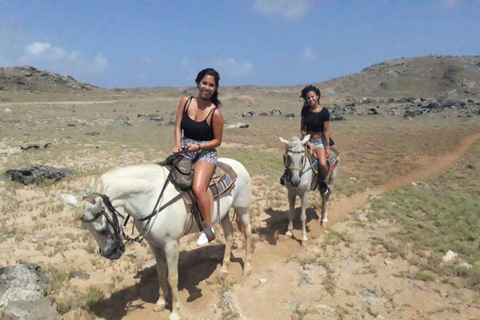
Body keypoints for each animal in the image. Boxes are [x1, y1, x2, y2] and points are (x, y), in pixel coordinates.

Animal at [62, 158, 253, 320]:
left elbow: (173, 277)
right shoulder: (154, 245)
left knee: (247, 234)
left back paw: (247, 268)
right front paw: (161, 303)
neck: (152, 198)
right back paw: (224, 269)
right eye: (87, 229)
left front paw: (175, 311)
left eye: (101, 229)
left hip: (242, 209)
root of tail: (238, 164)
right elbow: (161, 274)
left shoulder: (171, 245)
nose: (110, 254)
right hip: (224, 214)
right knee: (229, 235)